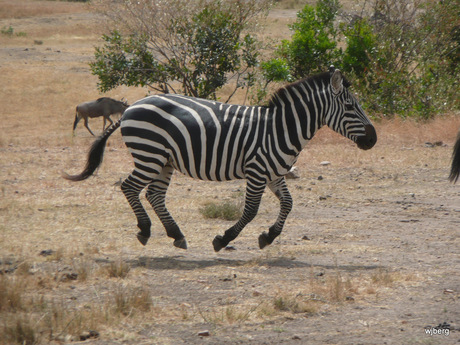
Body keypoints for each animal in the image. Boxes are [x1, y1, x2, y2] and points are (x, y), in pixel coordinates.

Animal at [63, 68, 376, 250]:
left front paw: (268, 236)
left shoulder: (274, 173)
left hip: (164, 161)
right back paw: (145, 229)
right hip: (149, 155)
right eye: (350, 106)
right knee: (130, 187)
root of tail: (133, 106)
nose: (373, 139)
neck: (279, 128)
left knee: (154, 195)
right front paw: (223, 239)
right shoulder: (257, 171)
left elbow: (288, 204)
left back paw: (176, 234)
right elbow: (250, 211)